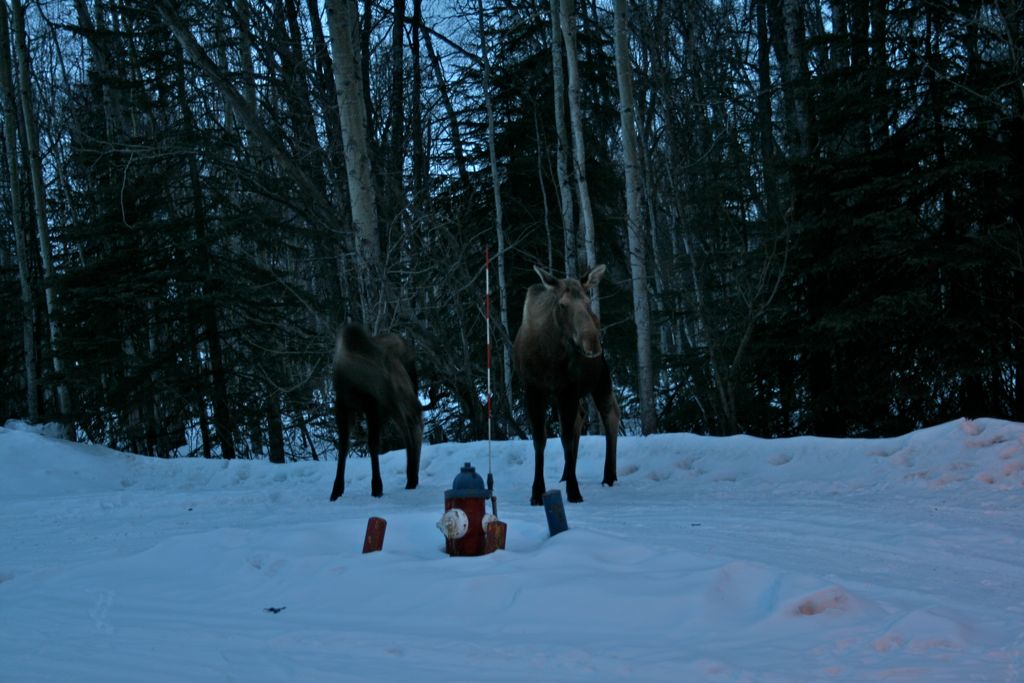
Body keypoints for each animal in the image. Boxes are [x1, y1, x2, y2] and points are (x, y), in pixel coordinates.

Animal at [329, 323, 421, 499]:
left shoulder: (373, 405)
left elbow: (372, 444)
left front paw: (377, 486)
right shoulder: (343, 406)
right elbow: (343, 446)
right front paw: (336, 490)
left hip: (397, 400)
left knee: (412, 422)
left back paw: (412, 477)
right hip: (395, 404)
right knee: (407, 427)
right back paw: (412, 477)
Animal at [512, 264, 622, 505]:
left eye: (588, 302)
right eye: (562, 305)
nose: (592, 344)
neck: (550, 356)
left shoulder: (568, 388)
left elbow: (566, 438)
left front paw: (574, 490)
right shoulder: (534, 389)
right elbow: (540, 439)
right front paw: (537, 492)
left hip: (601, 376)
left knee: (610, 413)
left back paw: (609, 475)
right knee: (581, 416)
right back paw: (565, 473)